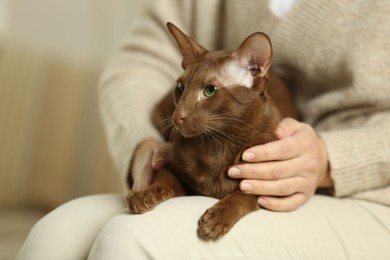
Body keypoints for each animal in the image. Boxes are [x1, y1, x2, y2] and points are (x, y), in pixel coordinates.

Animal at [126, 22, 298, 240]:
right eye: (180, 87)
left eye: (210, 90)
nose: (177, 116)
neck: (218, 144)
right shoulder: (176, 171)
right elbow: (163, 179)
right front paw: (142, 195)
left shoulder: (268, 184)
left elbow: (243, 195)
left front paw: (217, 219)